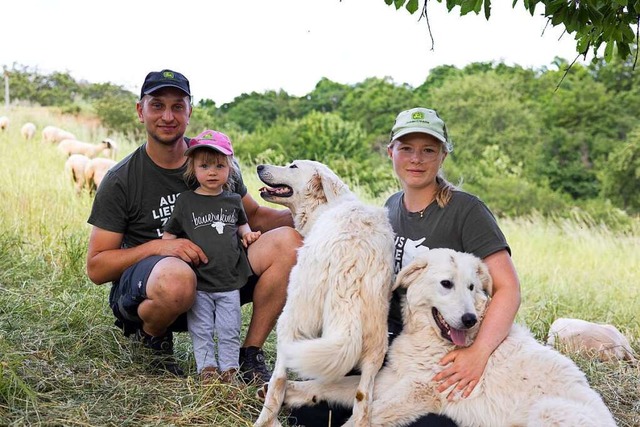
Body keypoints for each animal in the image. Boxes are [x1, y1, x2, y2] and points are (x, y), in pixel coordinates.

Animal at [254, 160, 396, 427]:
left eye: (293, 166)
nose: (259, 166)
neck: (326, 206)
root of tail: (351, 267)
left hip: (291, 317)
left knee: (278, 381)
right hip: (376, 344)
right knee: (363, 403)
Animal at [282, 249, 616, 426]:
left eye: (471, 287)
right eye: (446, 284)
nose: (469, 320)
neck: (428, 341)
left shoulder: (416, 392)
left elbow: (362, 416)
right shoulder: (391, 379)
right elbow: (332, 385)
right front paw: (290, 391)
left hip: (548, 413)